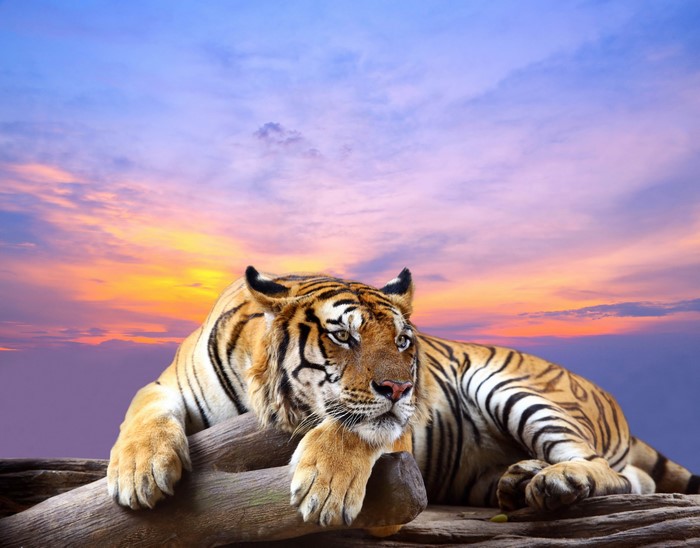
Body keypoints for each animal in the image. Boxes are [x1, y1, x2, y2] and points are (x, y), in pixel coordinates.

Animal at [107, 266, 700, 528]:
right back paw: (519, 479)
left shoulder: (394, 427)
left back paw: (555, 482)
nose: (401, 388)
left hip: (513, 387)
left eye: (402, 341)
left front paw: (324, 491)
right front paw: (139, 474)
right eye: (342, 335)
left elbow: (354, 428)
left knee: (611, 471)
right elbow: (141, 413)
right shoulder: (166, 385)